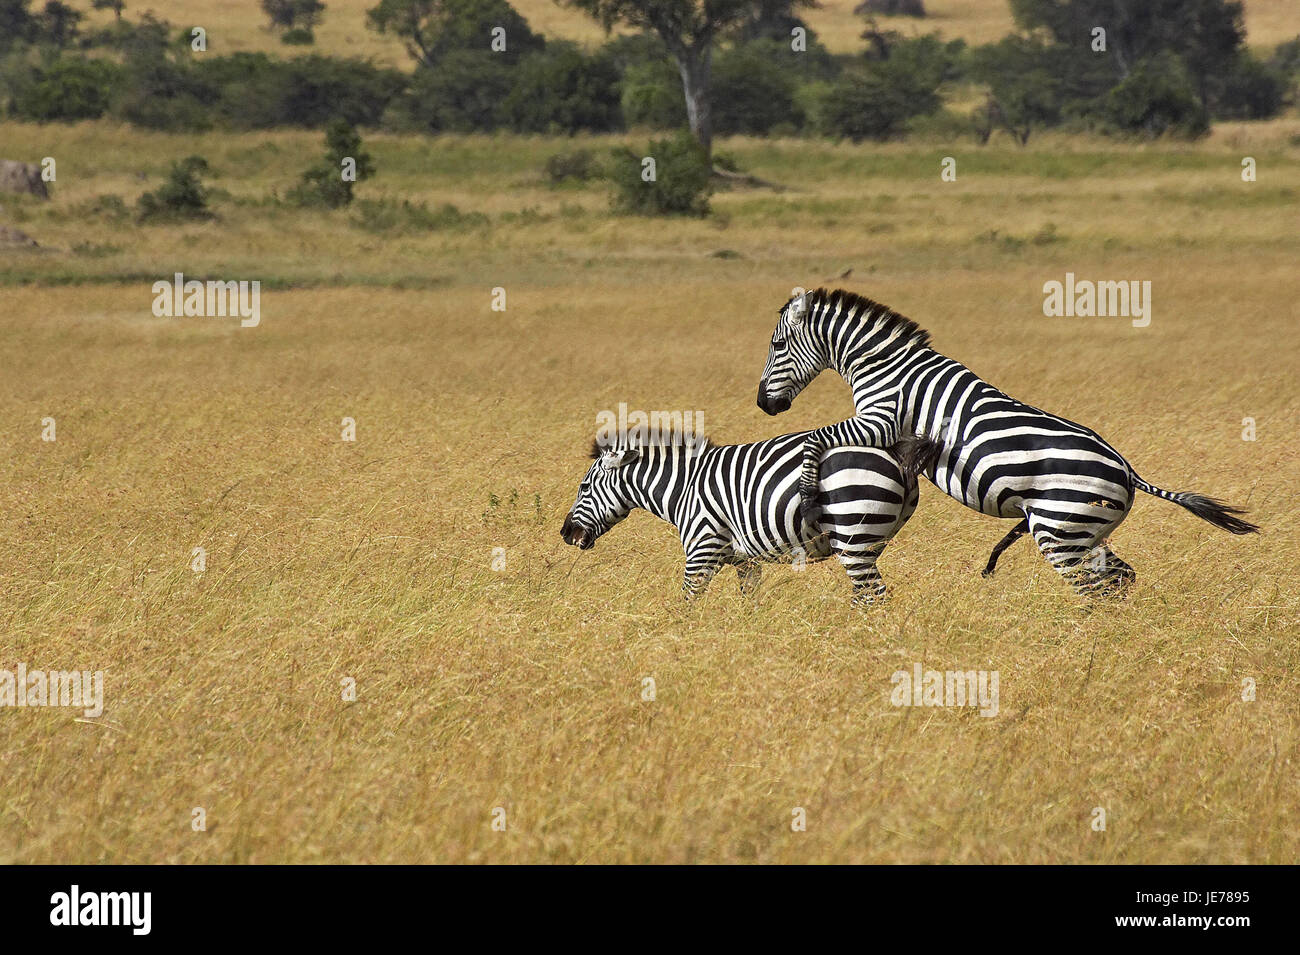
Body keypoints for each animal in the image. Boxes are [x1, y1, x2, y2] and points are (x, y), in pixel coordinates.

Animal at [561, 431, 946, 605]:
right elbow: (750, 603)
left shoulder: (702, 550)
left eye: (583, 487)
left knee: (875, 594)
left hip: (854, 534)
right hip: (870, 541)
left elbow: (687, 602)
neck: (684, 487)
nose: (565, 533)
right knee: (865, 593)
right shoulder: (745, 562)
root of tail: (895, 453)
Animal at [754, 287, 1258, 595]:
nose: (763, 404)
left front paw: (805, 489)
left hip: (1061, 530)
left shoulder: (880, 419)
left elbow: (814, 437)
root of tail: (1128, 471)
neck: (885, 365)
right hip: (1087, 531)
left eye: (777, 347)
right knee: (1119, 579)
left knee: (1092, 590)